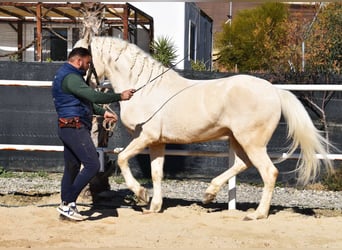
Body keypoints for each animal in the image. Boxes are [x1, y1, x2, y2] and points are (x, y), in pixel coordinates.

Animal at [75, 36, 334, 220]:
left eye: (83, 56)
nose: (80, 81)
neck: (142, 89)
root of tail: (274, 91)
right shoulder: (157, 142)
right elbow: (157, 173)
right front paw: (154, 206)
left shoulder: (144, 137)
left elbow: (122, 159)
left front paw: (140, 194)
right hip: (238, 140)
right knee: (243, 164)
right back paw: (209, 194)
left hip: (252, 142)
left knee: (269, 172)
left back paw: (257, 214)